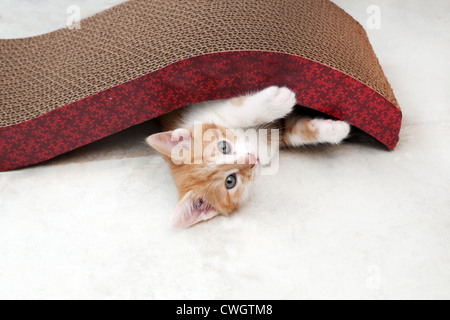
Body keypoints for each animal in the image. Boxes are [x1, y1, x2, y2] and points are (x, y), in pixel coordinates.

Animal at [148, 86, 352, 229]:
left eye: (224, 146)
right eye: (230, 181)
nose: (252, 159)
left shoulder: (204, 109)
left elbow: (233, 112)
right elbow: (292, 134)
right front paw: (337, 130)